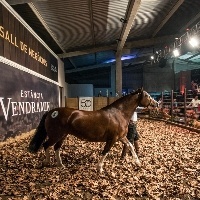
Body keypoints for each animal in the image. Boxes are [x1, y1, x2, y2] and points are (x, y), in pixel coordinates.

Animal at [28, 88, 158, 173]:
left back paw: (60, 165)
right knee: (46, 145)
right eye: (147, 96)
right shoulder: (112, 139)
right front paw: (99, 168)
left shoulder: (121, 137)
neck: (119, 113)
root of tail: (52, 112)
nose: (156, 103)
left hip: (63, 135)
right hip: (56, 135)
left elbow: (130, 146)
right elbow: (105, 152)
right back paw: (47, 162)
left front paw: (138, 162)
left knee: (56, 147)